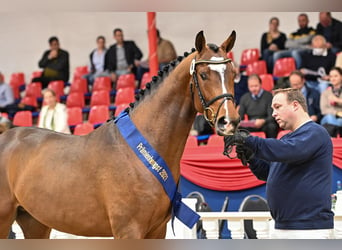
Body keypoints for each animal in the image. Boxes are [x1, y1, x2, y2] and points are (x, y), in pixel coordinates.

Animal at [0, 30, 239, 238]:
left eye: (233, 74)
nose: (229, 121)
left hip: (35, 223)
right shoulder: (129, 231)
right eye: (204, 74)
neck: (140, 152)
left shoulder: (156, 231)